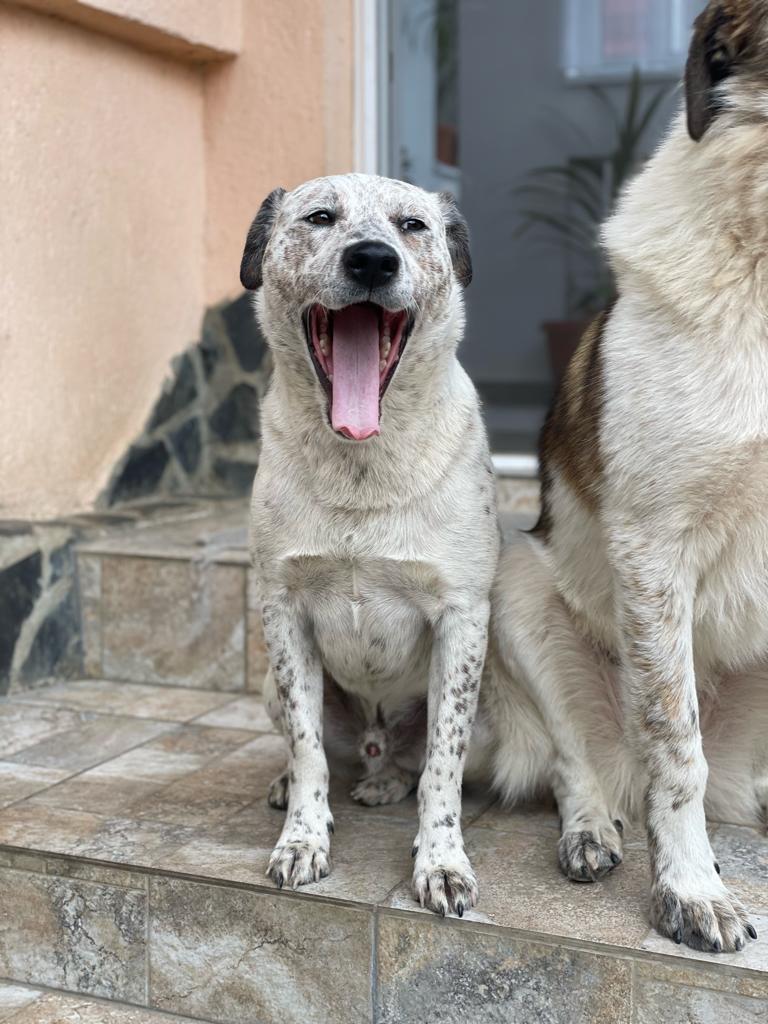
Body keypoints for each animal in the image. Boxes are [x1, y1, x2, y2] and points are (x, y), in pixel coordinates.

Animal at [239, 173, 499, 916]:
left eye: (413, 226)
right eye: (320, 217)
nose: (373, 261)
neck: (362, 466)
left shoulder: (462, 617)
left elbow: (443, 765)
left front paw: (441, 862)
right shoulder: (282, 609)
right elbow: (307, 750)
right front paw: (302, 839)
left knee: (414, 763)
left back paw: (387, 783)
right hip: (268, 686)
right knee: (322, 750)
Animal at [476, 0, 768, 953]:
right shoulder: (652, 545)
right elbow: (672, 742)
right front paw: (690, 890)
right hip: (516, 584)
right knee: (586, 764)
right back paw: (593, 830)